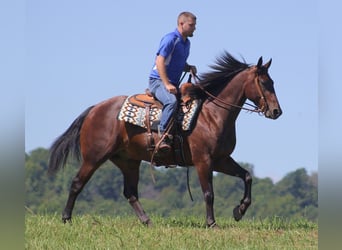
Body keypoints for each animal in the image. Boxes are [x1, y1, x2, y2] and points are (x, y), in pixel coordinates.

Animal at [48, 51, 284, 228]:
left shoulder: (221, 160)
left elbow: (247, 177)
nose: (276, 111)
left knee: (130, 193)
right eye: (264, 82)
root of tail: (95, 109)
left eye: (273, 81)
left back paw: (147, 221)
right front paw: (211, 223)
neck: (212, 114)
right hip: (94, 157)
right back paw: (66, 218)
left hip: (128, 161)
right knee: (77, 183)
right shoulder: (203, 161)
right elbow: (209, 193)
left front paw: (239, 210)